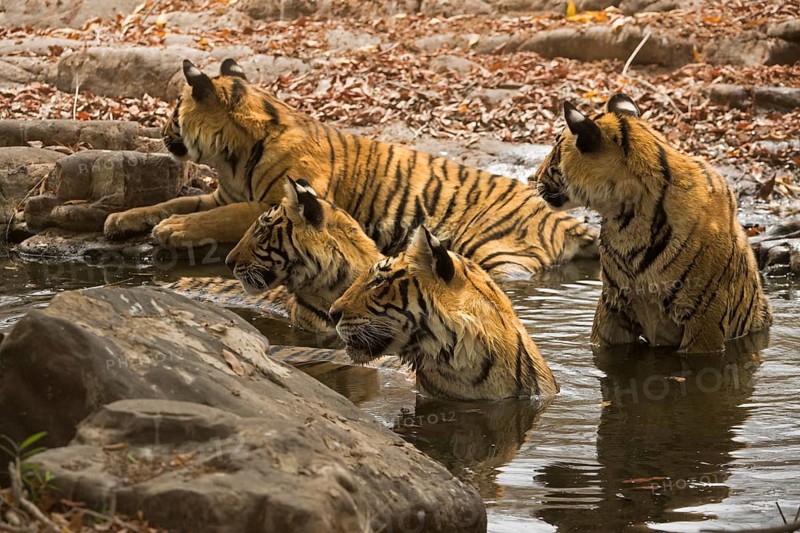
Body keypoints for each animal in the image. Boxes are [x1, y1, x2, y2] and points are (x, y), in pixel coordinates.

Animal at [104, 57, 598, 281]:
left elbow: (211, 216)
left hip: (492, 247)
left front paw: (171, 230)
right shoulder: (222, 192)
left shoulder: (269, 202)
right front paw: (120, 219)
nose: (160, 130)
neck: (230, 158)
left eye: (173, 109)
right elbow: (174, 200)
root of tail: (558, 216)